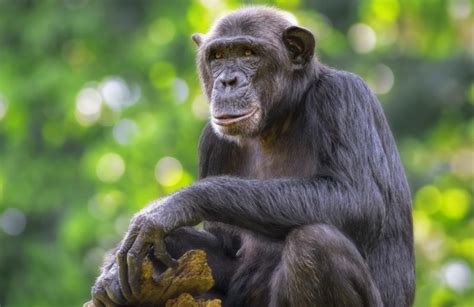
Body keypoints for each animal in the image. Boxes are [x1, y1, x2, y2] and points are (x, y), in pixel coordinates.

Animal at [90, 6, 414, 307]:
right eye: (218, 56)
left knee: (315, 243)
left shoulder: (343, 95)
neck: (279, 119)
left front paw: (169, 208)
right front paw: (112, 272)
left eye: (248, 53)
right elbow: (224, 245)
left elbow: (359, 198)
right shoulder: (212, 142)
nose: (228, 80)